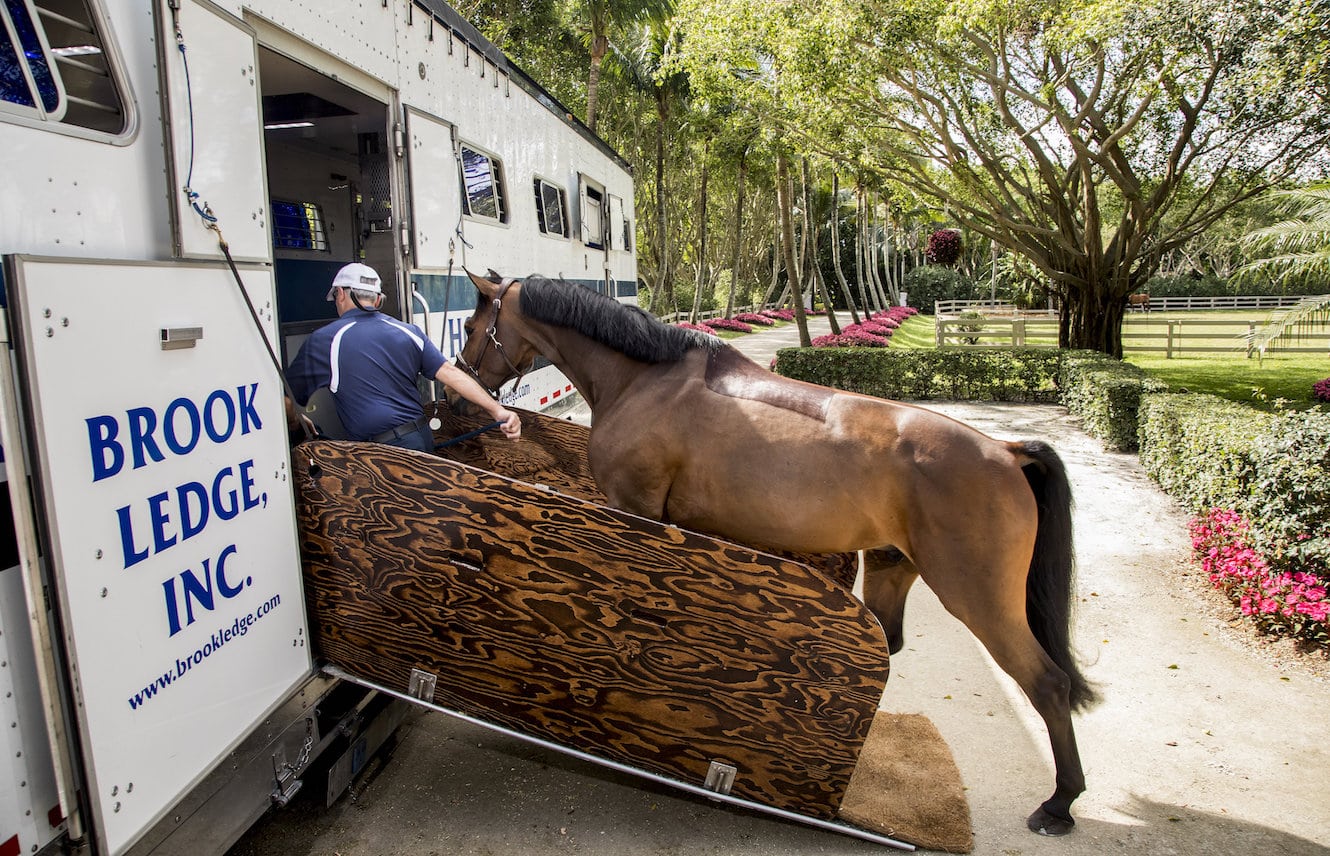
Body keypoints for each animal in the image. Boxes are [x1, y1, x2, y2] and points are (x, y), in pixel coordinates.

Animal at [457, 272, 1101, 834]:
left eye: (469, 323)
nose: (461, 380)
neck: (646, 380)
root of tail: (1006, 450)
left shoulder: (635, 513)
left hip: (979, 599)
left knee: (1047, 684)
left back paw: (1059, 803)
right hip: (893, 571)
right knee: (889, 649)